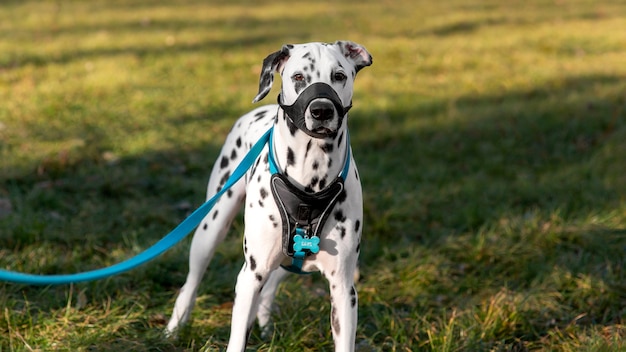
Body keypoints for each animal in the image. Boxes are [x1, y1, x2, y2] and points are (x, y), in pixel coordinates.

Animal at [166, 40, 370, 350]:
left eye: (339, 76)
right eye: (298, 77)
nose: (321, 110)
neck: (311, 183)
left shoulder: (344, 289)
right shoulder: (250, 277)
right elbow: (237, 338)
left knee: (272, 285)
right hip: (211, 228)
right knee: (191, 281)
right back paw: (174, 328)